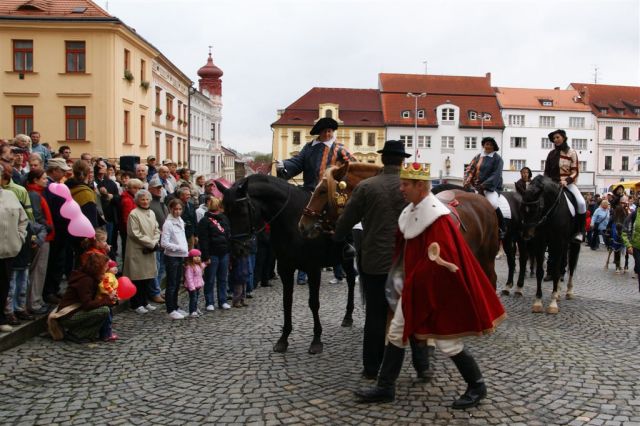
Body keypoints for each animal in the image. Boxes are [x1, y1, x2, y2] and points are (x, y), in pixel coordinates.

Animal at [215, 175, 356, 354]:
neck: (292, 221)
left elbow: (314, 303)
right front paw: (283, 339)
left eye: (242, 211)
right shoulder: (285, 268)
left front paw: (316, 340)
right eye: (225, 212)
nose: (237, 249)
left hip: (347, 258)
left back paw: (348, 316)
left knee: (351, 280)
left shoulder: (313, 269)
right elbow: (286, 301)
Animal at [524, 174, 584, 312]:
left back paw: (568, 292)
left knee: (571, 266)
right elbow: (540, 271)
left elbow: (556, 272)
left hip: (572, 244)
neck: (551, 212)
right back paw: (558, 293)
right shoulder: (540, 244)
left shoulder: (558, 243)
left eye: (538, 207)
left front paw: (552, 304)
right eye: (522, 207)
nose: (527, 236)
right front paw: (538, 301)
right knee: (562, 265)